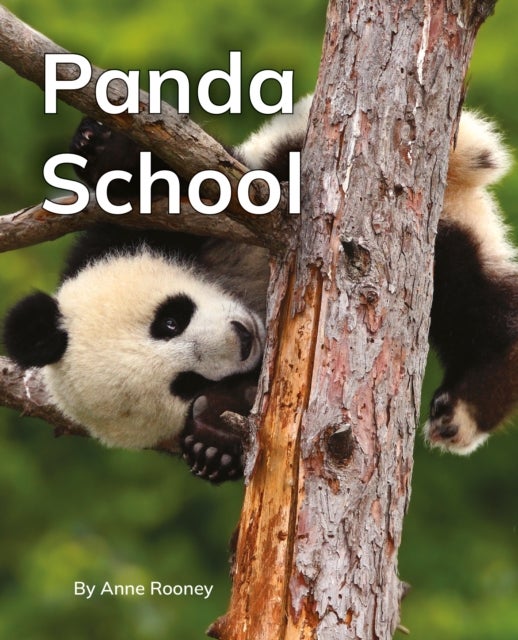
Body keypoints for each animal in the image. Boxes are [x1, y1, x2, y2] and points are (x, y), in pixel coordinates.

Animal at [2, 96, 517, 479]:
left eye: (169, 320)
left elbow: (173, 181)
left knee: (465, 296)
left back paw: (470, 401)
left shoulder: (137, 230)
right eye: (185, 383)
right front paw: (216, 441)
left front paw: (101, 145)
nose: (241, 341)